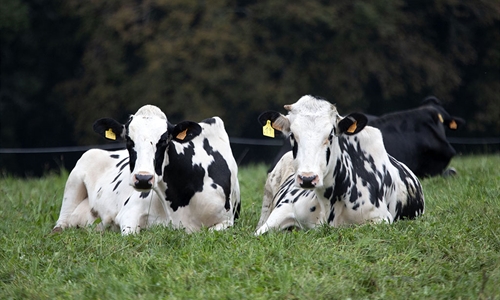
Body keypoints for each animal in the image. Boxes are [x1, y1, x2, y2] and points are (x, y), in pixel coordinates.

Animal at [52, 105, 240, 234]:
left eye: (164, 140)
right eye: (128, 140)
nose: (143, 179)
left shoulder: (227, 221)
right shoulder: (129, 214)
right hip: (74, 180)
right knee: (61, 222)